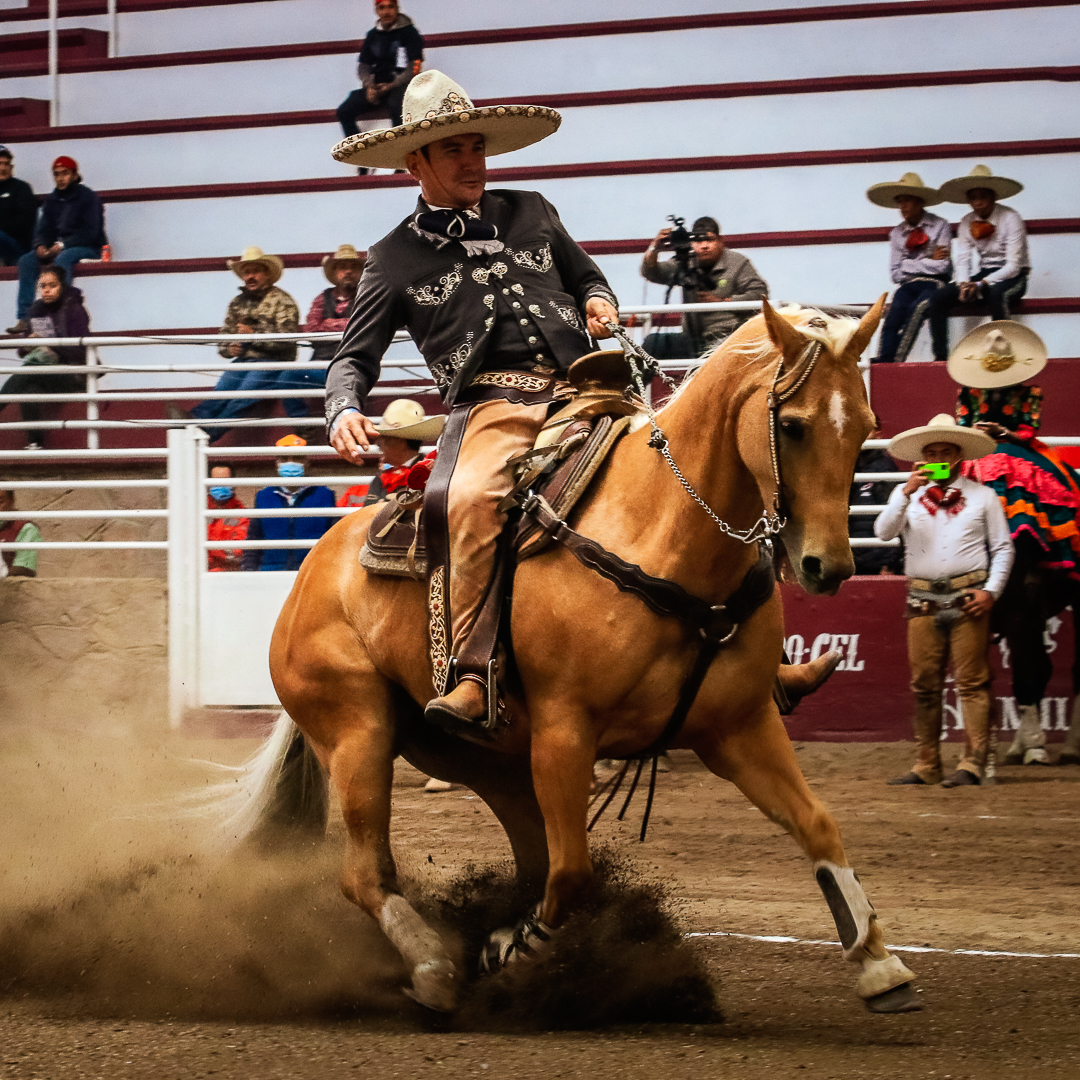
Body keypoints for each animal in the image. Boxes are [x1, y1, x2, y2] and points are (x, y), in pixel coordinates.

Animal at [230, 295, 920, 1010]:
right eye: (794, 424)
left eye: (866, 425)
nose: (827, 566)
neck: (662, 531)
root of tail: (311, 572)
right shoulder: (566, 733)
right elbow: (573, 874)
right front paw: (508, 948)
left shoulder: (740, 725)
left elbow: (817, 823)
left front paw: (878, 962)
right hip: (358, 733)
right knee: (368, 874)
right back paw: (436, 968)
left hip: (487, 758)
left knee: (521, 853)